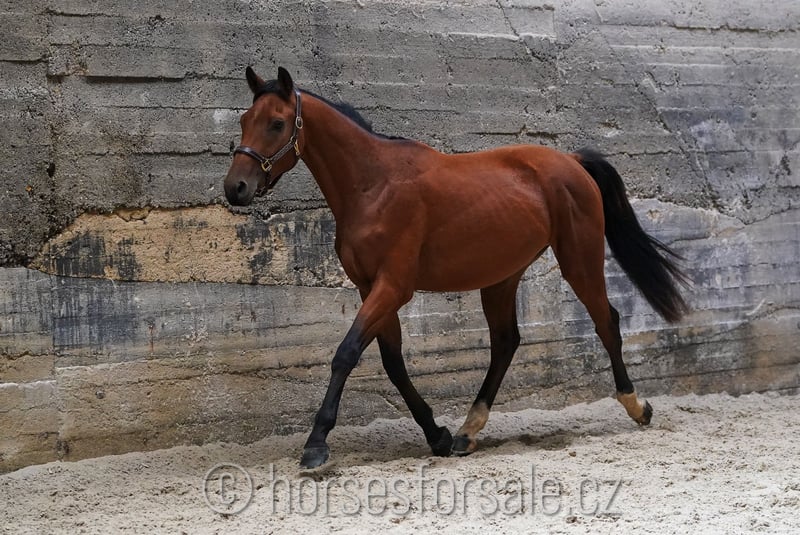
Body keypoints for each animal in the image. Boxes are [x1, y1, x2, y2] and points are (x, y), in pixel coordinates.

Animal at [224, 67, 688, 469]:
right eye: (245, 119)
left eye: (277, 123)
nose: (235, 188)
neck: (374, 185)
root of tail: (572, 161)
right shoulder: (370, 288)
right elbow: (393, 364)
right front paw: (438, 435)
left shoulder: (392, 287)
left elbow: (346, 353)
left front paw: (316, 444)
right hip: (502, 277)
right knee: (506, 342)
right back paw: (467, 432)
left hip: (579, 259)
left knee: (606, 322)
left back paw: (637, 407)